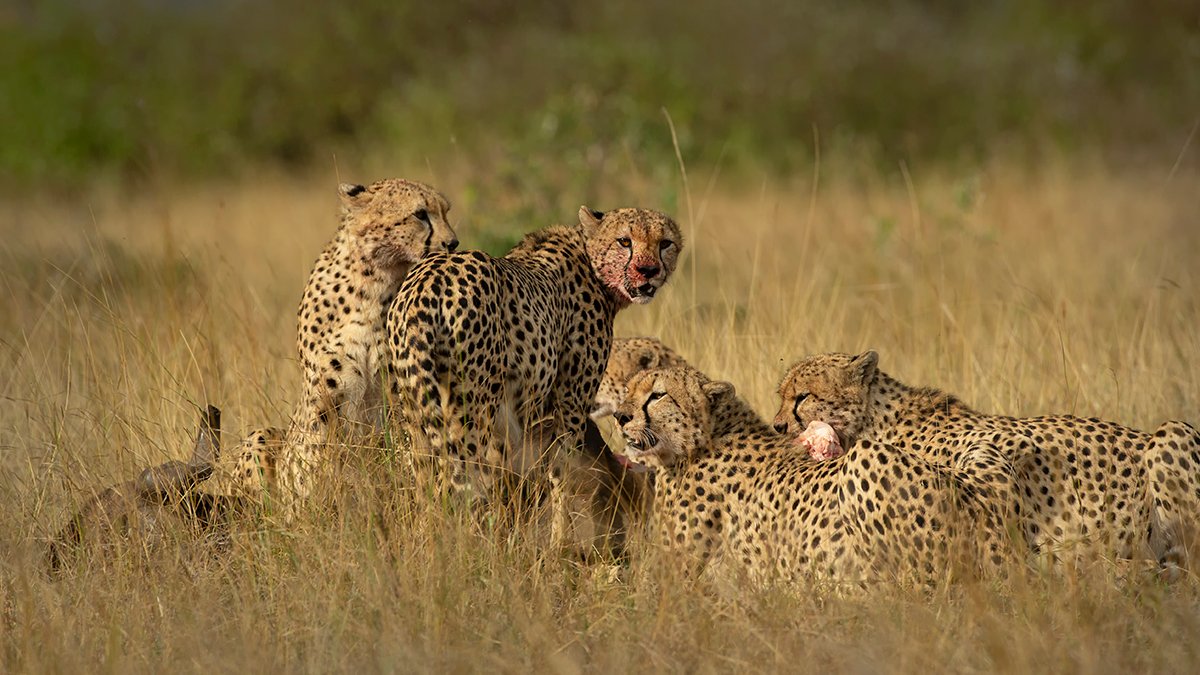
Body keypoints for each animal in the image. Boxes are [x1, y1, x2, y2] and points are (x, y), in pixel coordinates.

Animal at [386, 207, 681, 550]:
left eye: (665, 243)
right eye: (625, 241)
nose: (648, 271)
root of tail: (427, 281)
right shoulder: (569, 403)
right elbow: (562, 471)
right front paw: (558, 542)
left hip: (413, 408)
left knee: (425, 479)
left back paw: (426, 539)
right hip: (473, 411)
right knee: (465, 478)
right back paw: (474, 547)